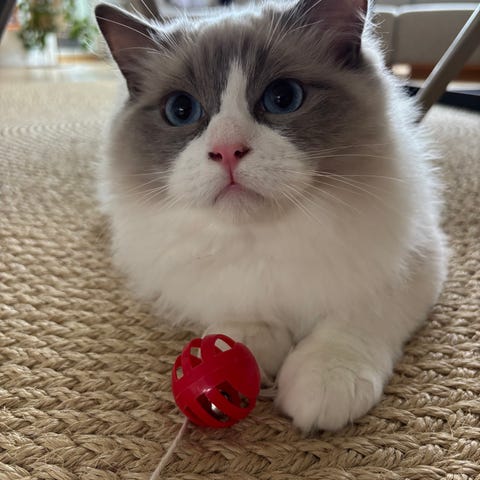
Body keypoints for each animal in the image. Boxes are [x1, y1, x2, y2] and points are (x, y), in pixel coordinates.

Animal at [95, 0, 448, 432]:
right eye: (181, 110)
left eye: (283, 98)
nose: (227, 150)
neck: (266, 238)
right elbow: (243, 316)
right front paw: (241, 350)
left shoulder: (412, 263)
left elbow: (353, 321)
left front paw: (325, 382)